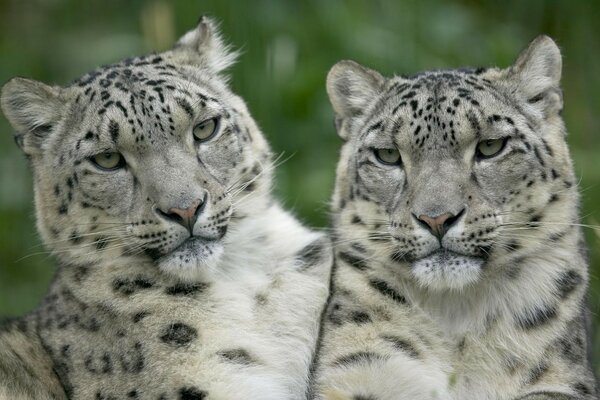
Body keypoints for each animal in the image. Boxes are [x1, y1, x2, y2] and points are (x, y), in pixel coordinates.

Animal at [312, 36, 596, 398]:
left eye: (491, 146)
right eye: (387, 154)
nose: (437, 219)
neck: (455, 320)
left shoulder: (561, 380)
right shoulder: (356, 370)